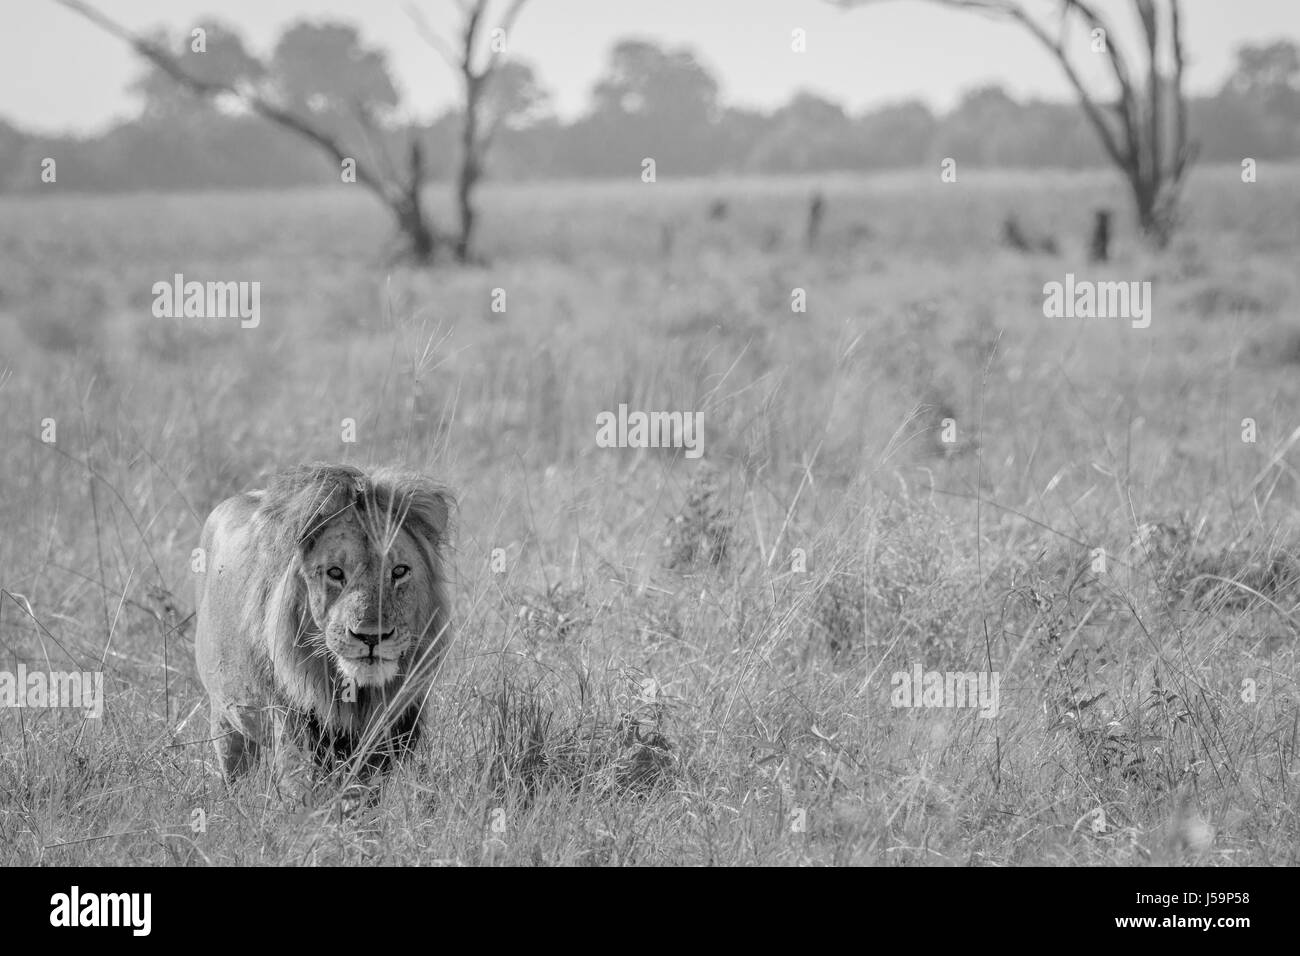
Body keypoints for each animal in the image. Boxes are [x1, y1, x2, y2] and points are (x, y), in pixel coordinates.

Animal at [189, 463, 457, 785]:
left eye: (399, 571)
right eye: (335, 572)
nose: (371, 637)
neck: (358, 694)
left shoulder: (397, 724)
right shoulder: (294, 721)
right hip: (224, 717)